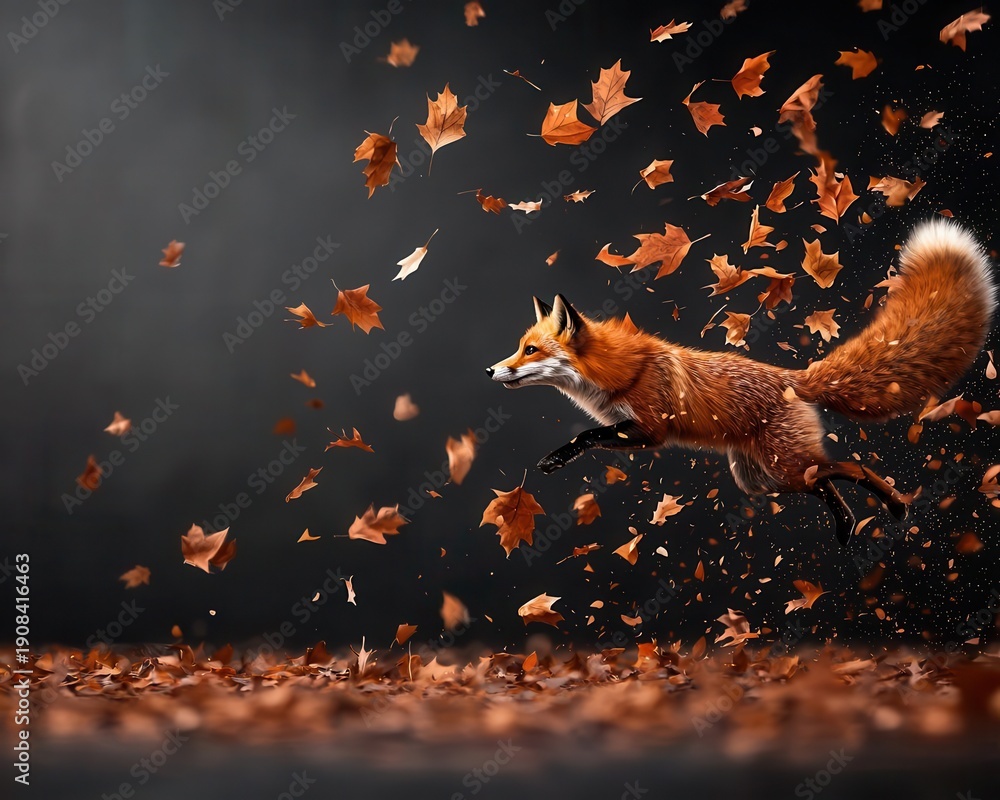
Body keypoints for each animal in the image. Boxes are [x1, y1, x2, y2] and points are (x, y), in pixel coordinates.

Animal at [487, 219, 995, 544]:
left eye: (530, 350)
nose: (490, 371)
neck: (616, 372)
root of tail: (794, 377)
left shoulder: (649, 430)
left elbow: (588, 435)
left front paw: (556, 457)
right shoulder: (635, 428)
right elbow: (591, 433)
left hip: (779, 466)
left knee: (851, 467)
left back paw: (895, 507)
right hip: (760, 478)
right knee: (827, 479)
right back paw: (847, 528)